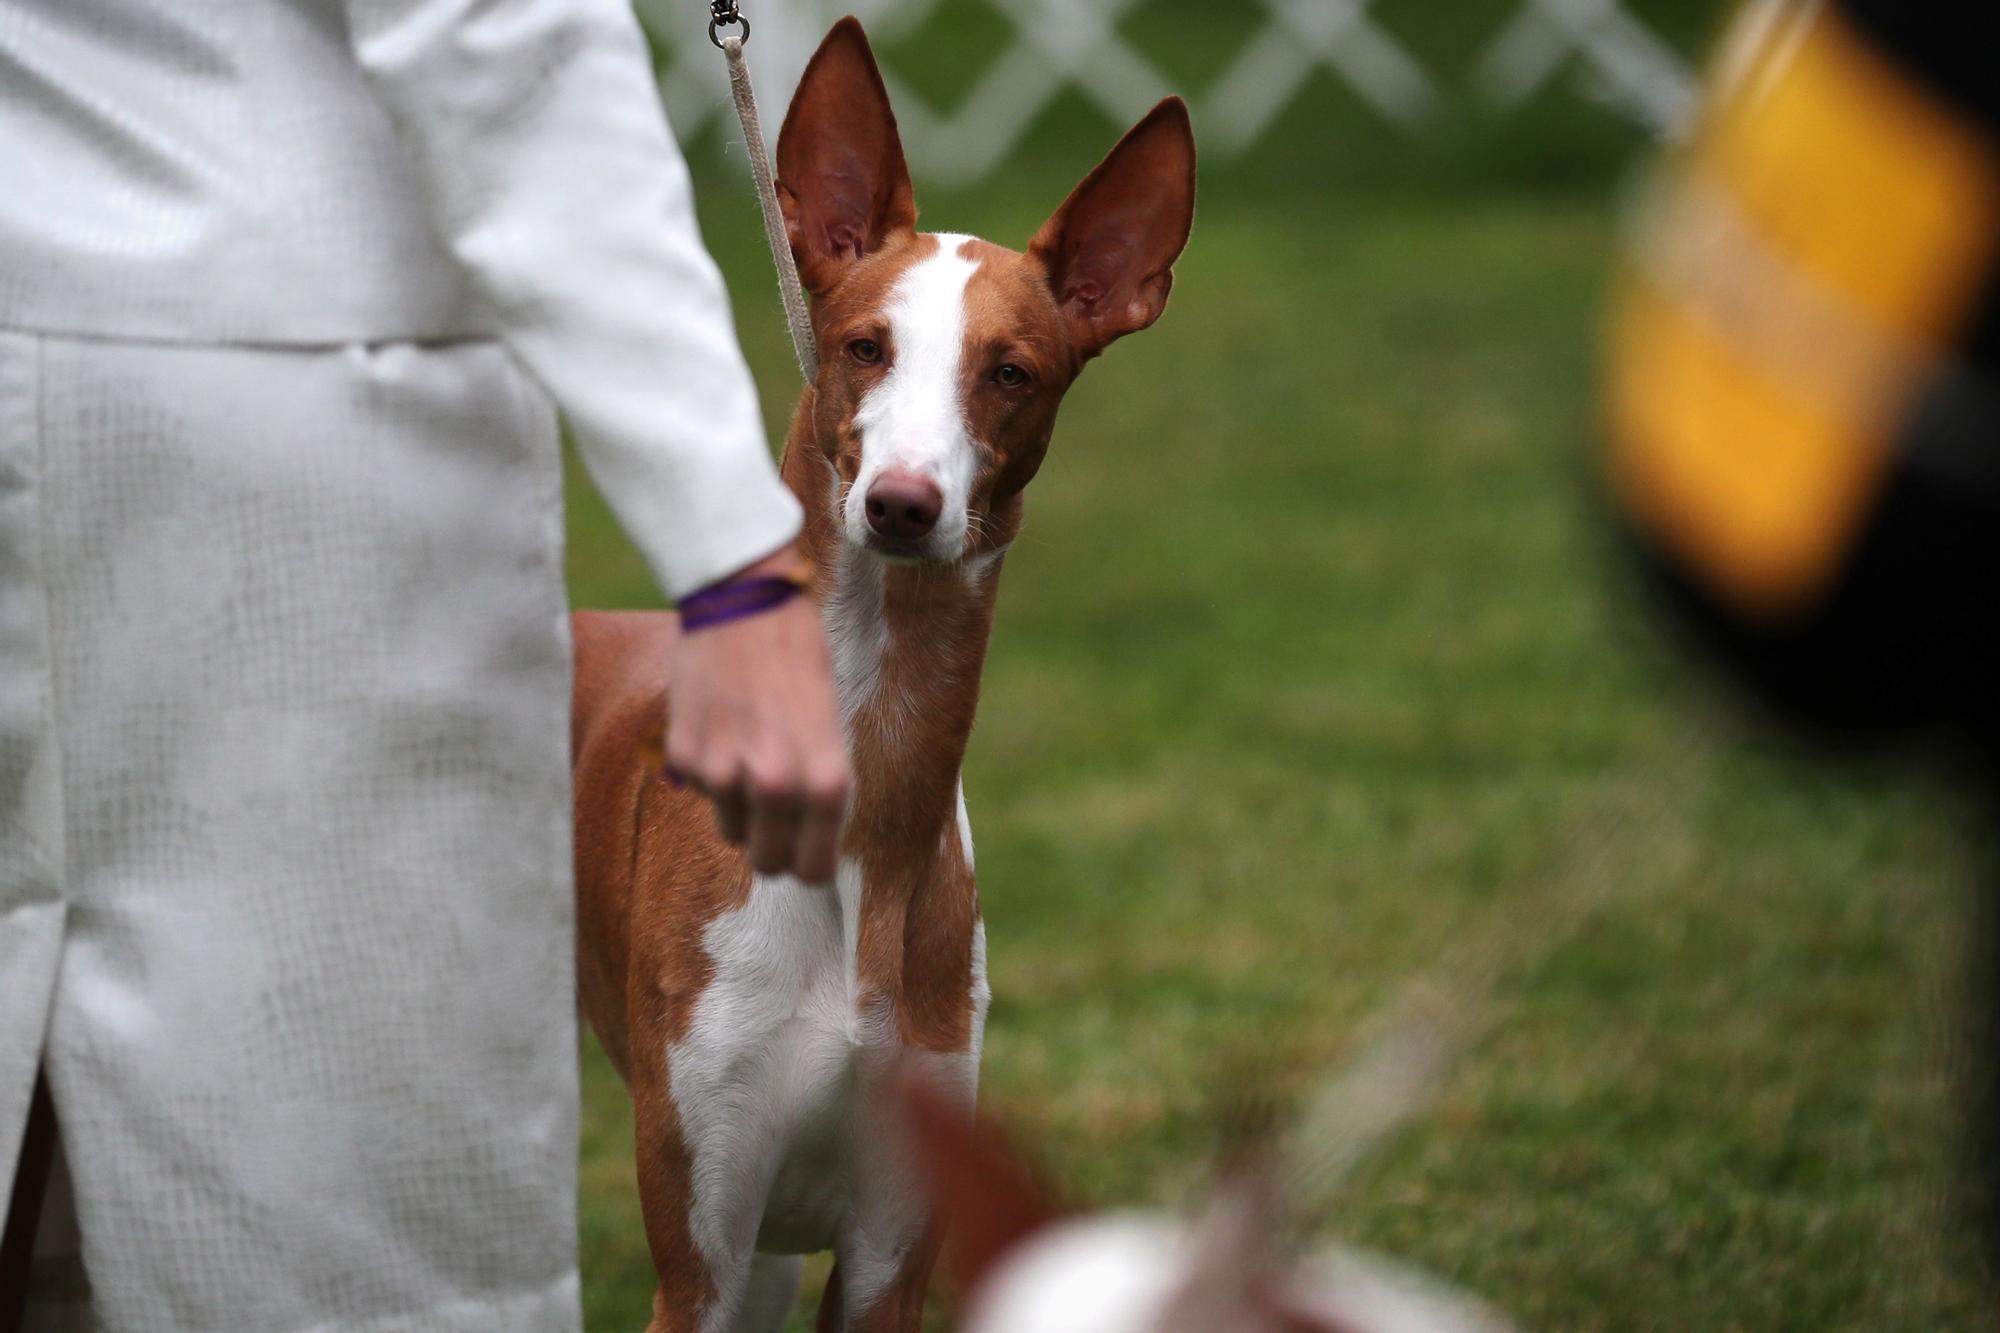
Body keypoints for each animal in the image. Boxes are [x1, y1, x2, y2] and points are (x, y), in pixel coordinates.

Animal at [572, 20, 1192, 1328]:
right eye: (864, 348)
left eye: (1013, 371)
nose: (903, 504)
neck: (866, 800)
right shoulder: (695, 1252)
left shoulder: (887, 1258)